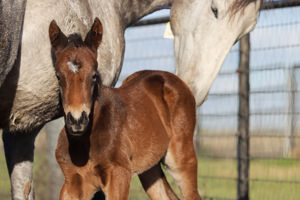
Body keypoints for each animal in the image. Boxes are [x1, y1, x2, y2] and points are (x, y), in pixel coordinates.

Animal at [49, 18, 202, 199]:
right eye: (58, 76)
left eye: (93, 75)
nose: (77, 121)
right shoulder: (72, 183)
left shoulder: (119, 175)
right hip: (149, 169)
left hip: (180, 160)